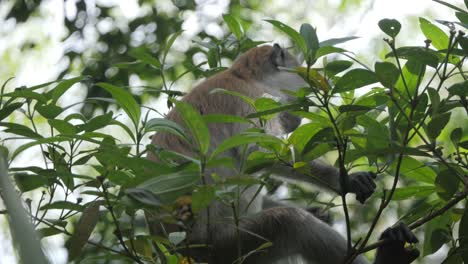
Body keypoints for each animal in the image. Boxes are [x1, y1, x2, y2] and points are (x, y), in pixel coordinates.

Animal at [146, 44, 416, 262]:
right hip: (223, 247)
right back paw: (389, 256)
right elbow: (261, 154)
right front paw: (343, 179)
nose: (300, 117)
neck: (243, 76)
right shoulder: (252, 101)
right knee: (291, 223)